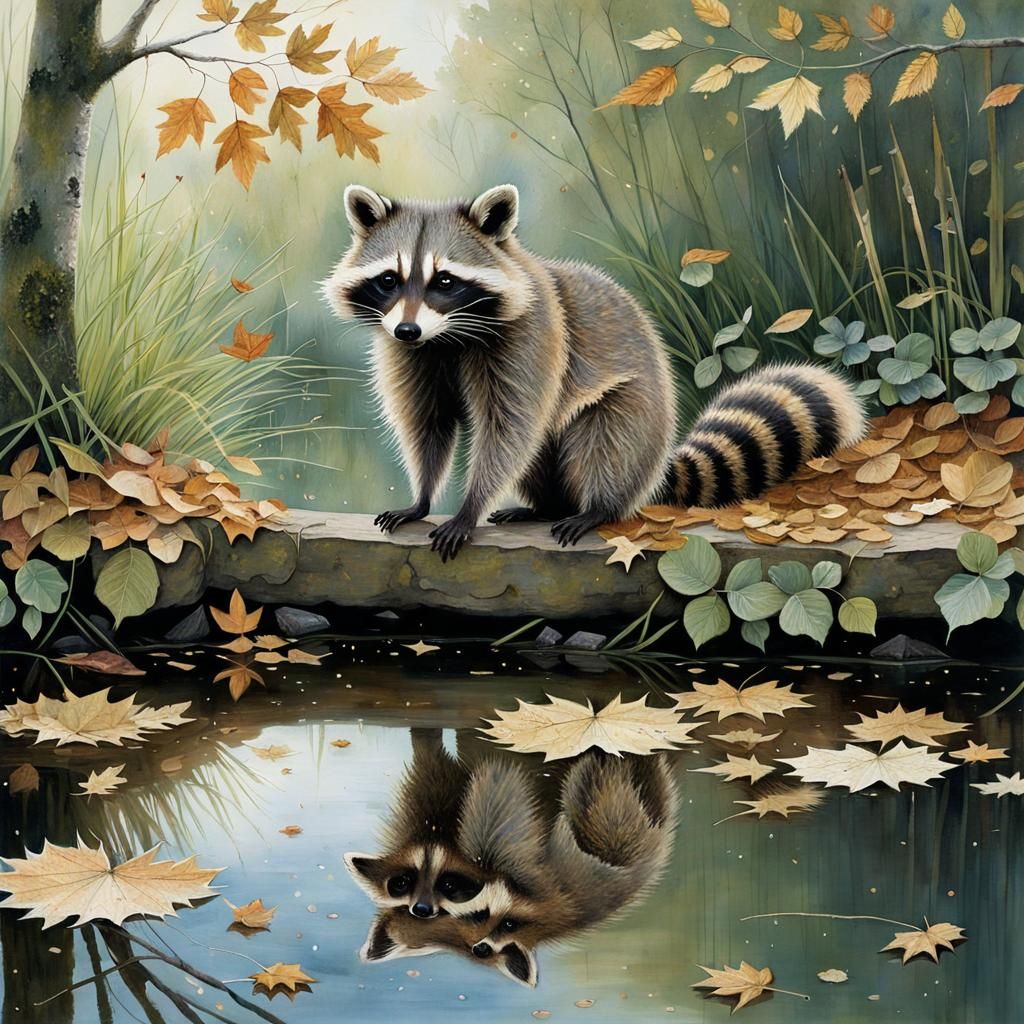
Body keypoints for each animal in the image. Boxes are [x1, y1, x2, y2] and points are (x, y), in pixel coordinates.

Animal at [324, 184, 866, 560]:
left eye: (445, 281)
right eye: (389, 279)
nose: (408, 329)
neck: (447, 335)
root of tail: (657, 465)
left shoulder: (533, 336)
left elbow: (510, 427)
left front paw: (468, 507)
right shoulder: (413, 354)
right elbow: (429, 424)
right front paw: (421, 497)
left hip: (634, 410)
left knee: (604, 441)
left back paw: (596, 507)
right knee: (542, 453)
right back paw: (545, 505)